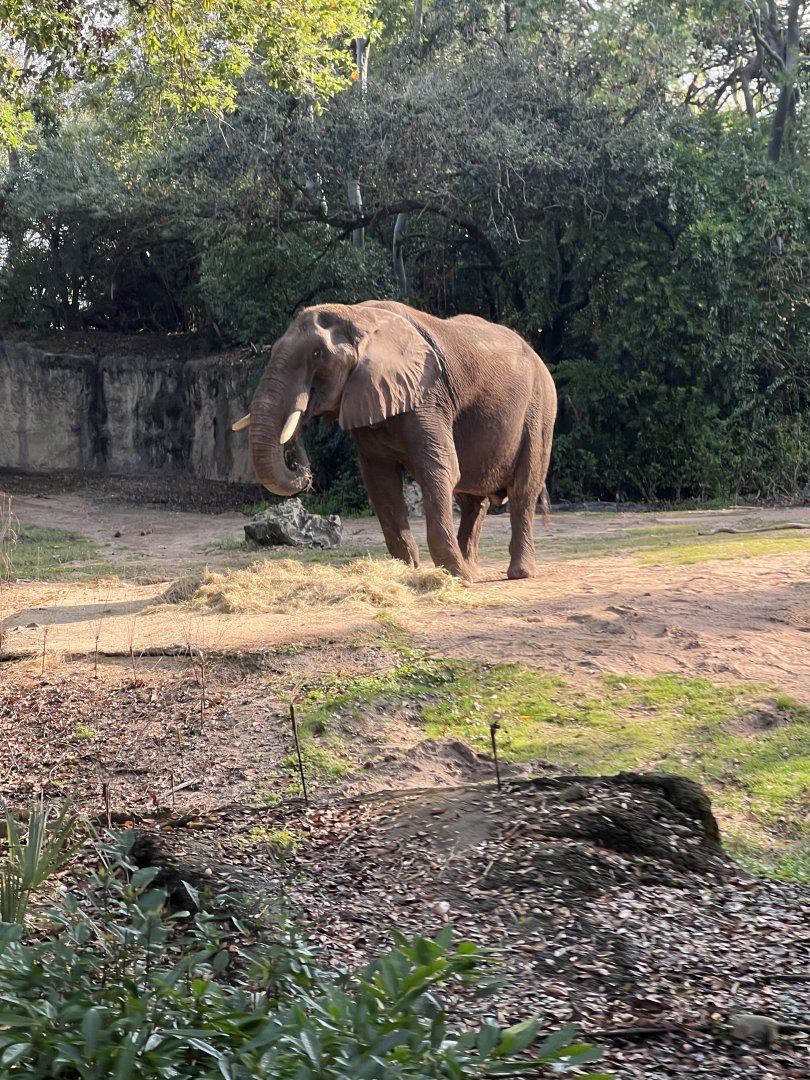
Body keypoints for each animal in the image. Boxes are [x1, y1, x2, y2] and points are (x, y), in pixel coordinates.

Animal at [233, 300, 556, 582]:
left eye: (317, 355)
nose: (304, 416)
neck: (357, 315)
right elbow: (380, 481)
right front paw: (405, 572)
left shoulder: (426, 396)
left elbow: (438, 469)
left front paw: (455, 579)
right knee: (473, 500)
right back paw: (472, 569)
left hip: (540, 411)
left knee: (523, 490)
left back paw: (517, 573)